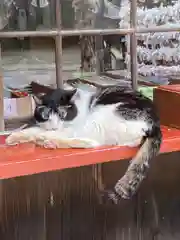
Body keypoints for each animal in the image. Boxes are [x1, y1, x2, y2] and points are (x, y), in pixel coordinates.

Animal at [5, 85, 162, 202]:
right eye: (46, 116)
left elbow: (43, 132)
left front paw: (40, 136)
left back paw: (49, 141)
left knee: (92, 142)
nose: (54, 127)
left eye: (62, 115)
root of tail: (155, 125)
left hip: (101, 116)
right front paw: (14, 137)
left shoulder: (72, 127)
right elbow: (34, 129)